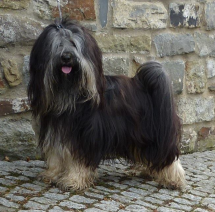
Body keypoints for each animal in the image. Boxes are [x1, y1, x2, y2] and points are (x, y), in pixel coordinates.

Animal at [27, 18, 186, 190]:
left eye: (74, 44)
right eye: (58, 44)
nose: (67, 57)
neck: (68, 94)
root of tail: (145, 84)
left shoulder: (83, 138)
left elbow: (77, 161)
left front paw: (73, 180)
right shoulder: (55, 131)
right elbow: (55, 155)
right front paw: (52, 174)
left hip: (155, 132)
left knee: (167, 156)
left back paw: (174, 179)